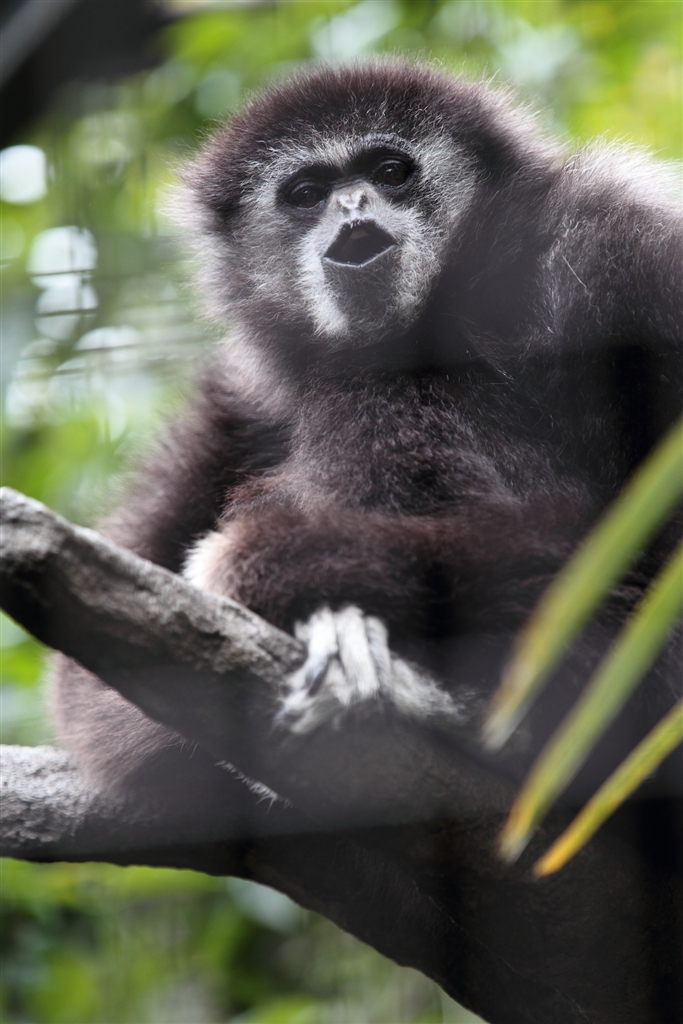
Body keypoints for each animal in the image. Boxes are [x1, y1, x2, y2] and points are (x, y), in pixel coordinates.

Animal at [49, 61, 682, 813]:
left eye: (389, 170)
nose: (352, 204)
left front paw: (271, 561)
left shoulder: (617, 246)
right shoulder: (238, 395)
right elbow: (92, 679)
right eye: (306, 193)